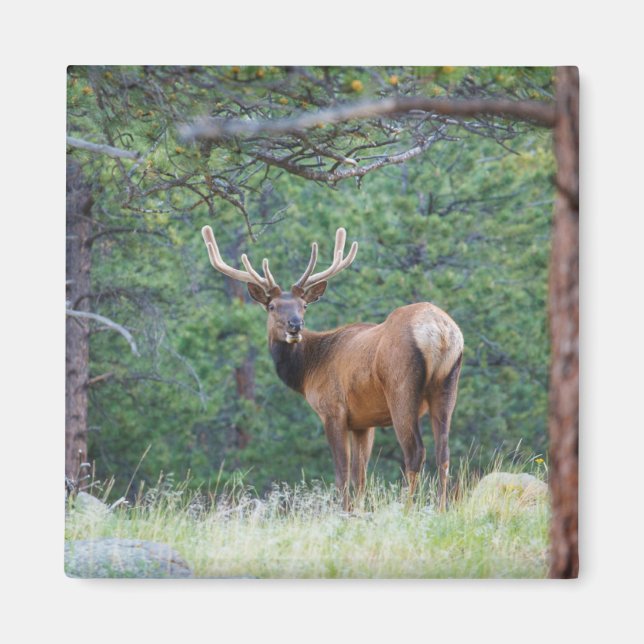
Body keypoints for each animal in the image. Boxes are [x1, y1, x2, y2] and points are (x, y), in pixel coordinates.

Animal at [201, 225, 464, 511]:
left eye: (303, 305)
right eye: (272, 306)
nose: (295, 325)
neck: (307, 371)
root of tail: (441, 332)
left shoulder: (332, 410)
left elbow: (342, 474)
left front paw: (345, 512)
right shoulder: (363, 421)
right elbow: (361, 476)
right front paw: (358, 511)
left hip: (401, 387)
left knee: (415, 451)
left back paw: (406, 510)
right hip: (447, 385)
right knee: (444, 452)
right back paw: (441, 508)